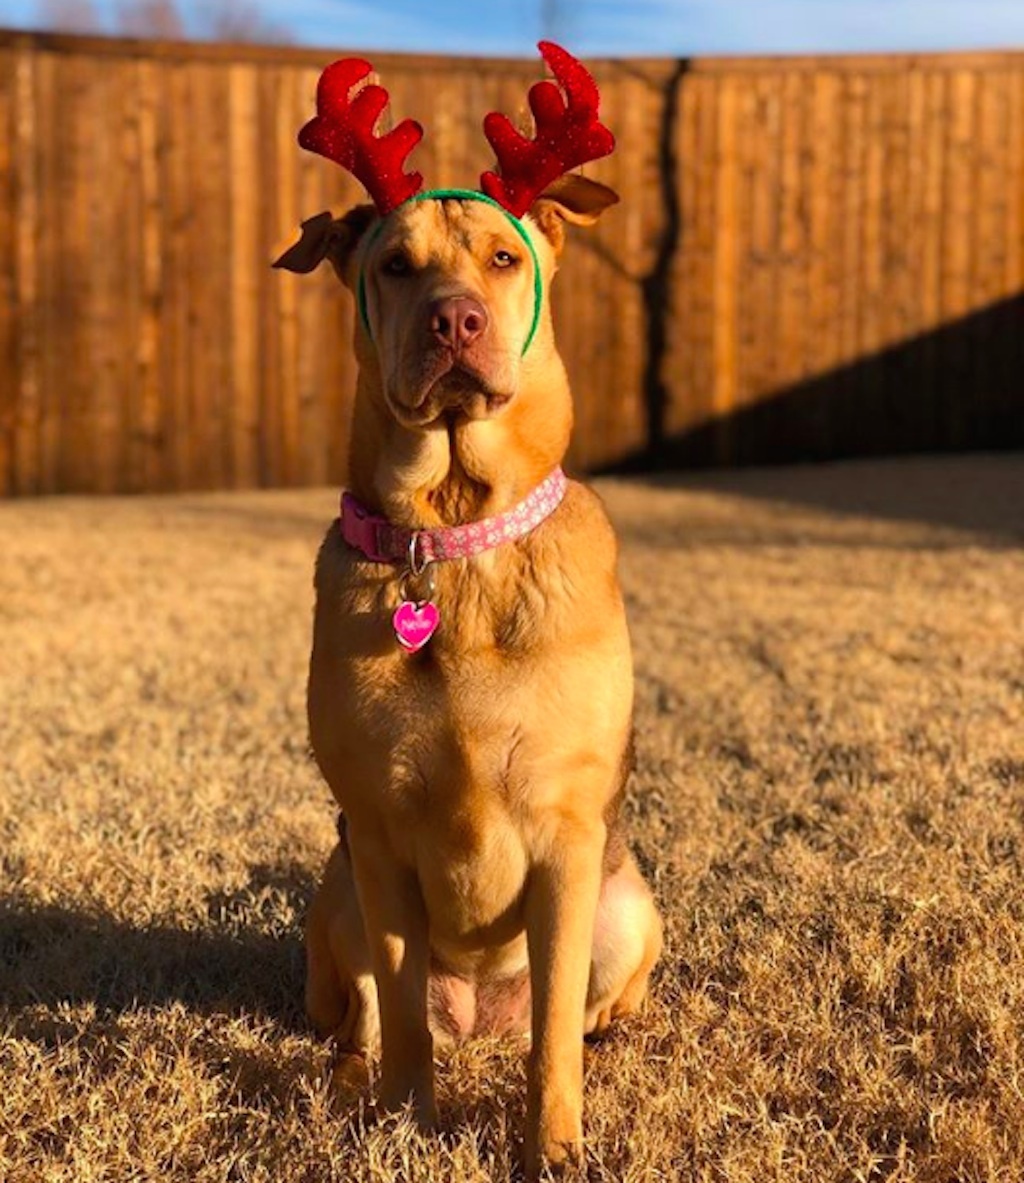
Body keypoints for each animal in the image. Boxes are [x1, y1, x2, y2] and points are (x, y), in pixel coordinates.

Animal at [275, 154, 662, 1173]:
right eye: (395, 266)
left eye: (501, 258)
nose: (456, 321)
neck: (452, 539)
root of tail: (481, 1017)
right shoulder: (378, 839)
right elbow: (403, 1016)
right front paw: (408, 1122)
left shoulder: (567, 840)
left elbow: (555, 1035)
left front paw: (554, 1146)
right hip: (335, 898)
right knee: (360, 1022)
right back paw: (349, 1085)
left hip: (629, 904)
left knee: (584, 1008)